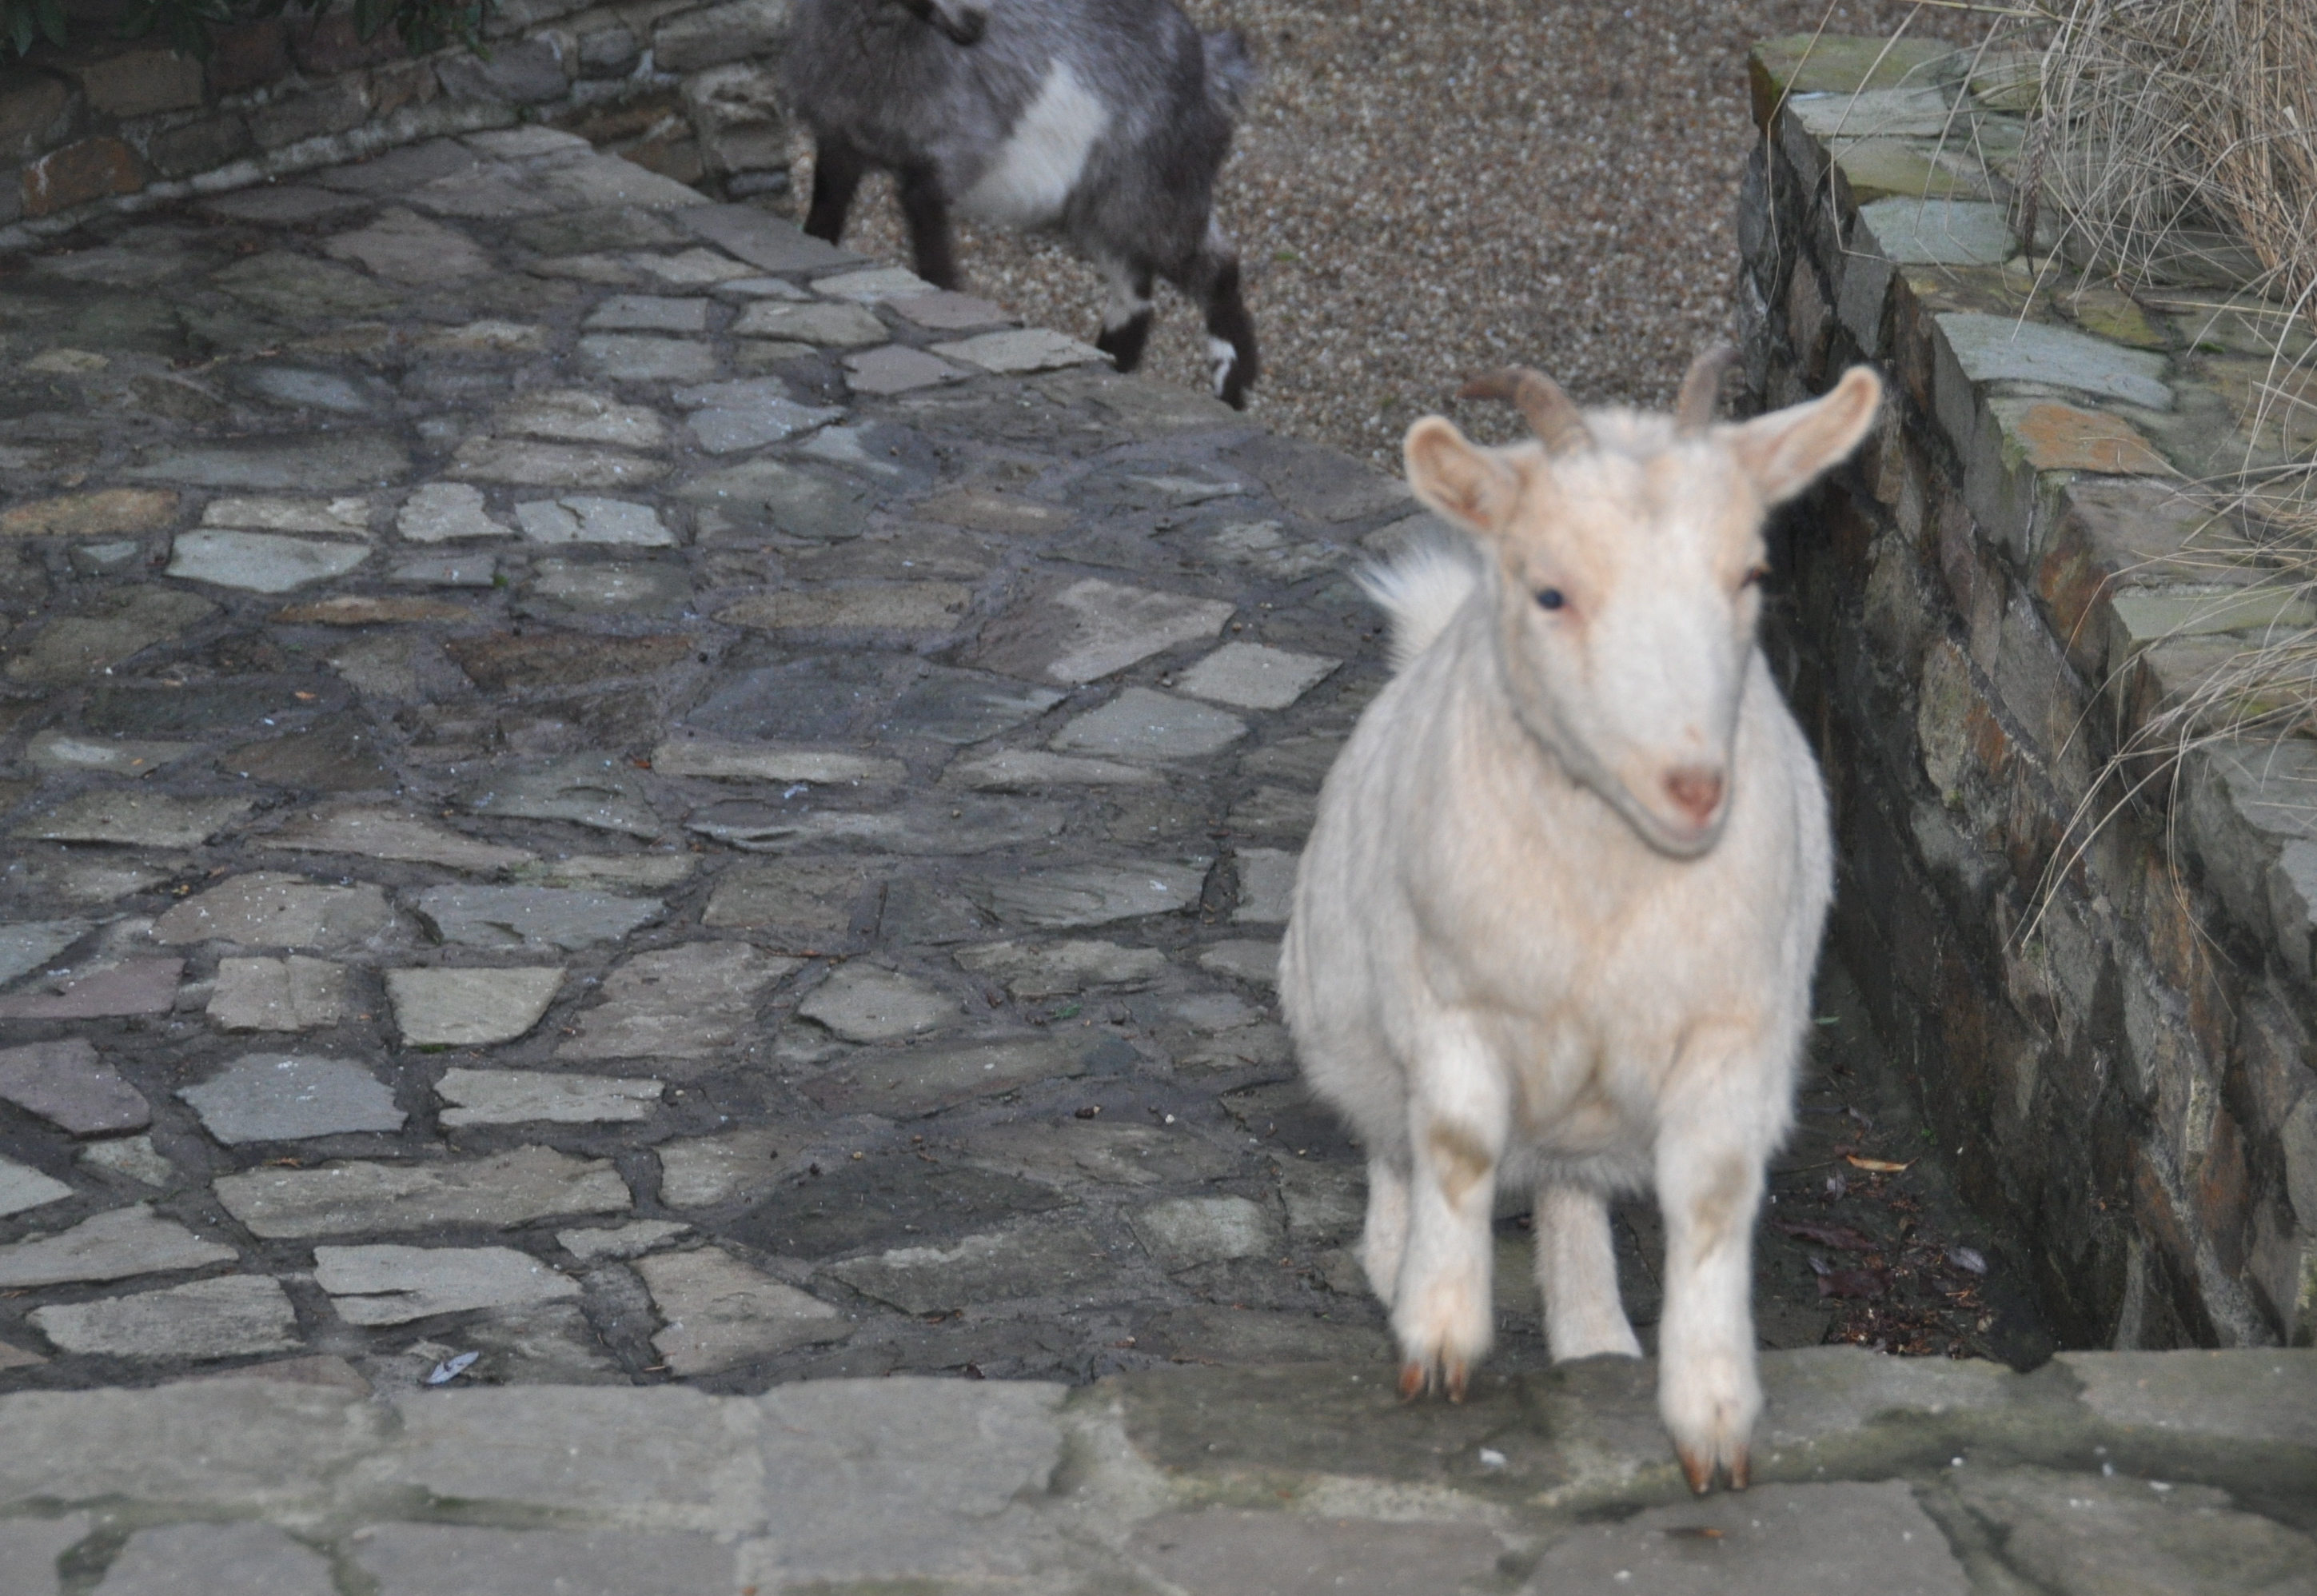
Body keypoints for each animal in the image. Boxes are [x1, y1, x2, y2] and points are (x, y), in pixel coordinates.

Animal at [780, 0, 1262, 408]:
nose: (977, 23)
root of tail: (1210, 63)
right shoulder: (837, 142)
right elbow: (821, 228)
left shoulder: (945, 160)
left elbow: (933, 262)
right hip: (1094, 208)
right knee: (1135, 294)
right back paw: (1113, 367)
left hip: (1152, 191)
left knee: (1216, 266)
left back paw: (1230, 384)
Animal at [1279, 349, 1883, 1493]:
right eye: (1550, 591)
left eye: (1752, 575)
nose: (1695, 786)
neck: (1610, 890)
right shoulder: (1450, 999)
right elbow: (1457, 1146)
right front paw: (1439, 1334)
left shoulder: (1734, 1029)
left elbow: (1712, 1194)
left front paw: (1711, 1418)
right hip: (1342, 1016)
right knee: (1392, 1139)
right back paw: (1392, 1260)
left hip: (1588, 1112)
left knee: (1568, 1190)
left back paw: (1596, 1336)